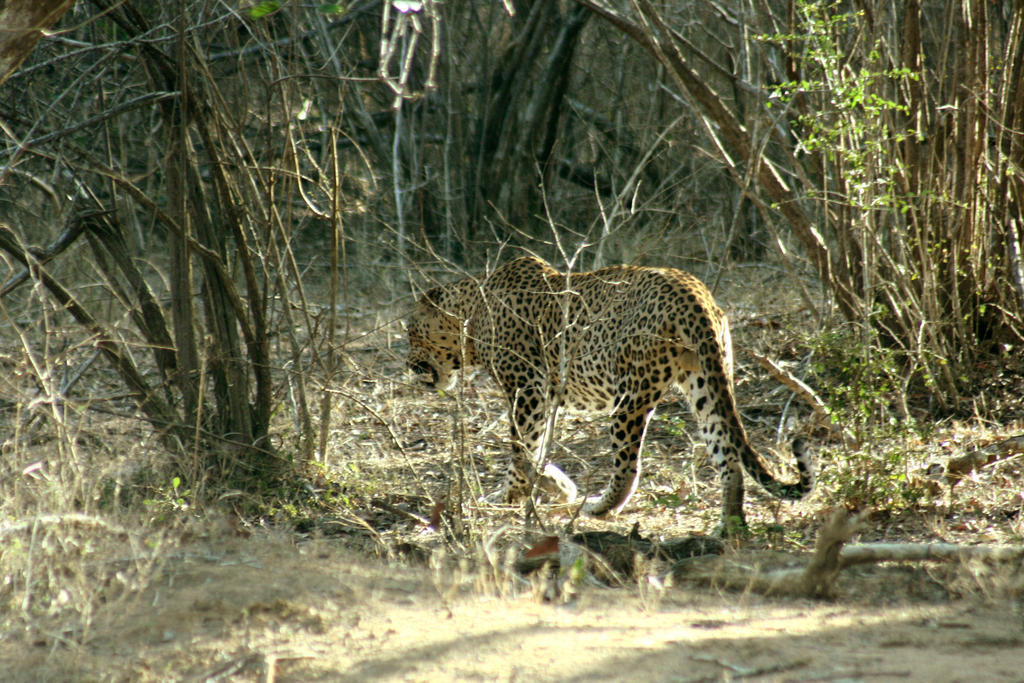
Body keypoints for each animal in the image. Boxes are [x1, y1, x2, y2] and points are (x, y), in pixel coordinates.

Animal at [403, 255, 811, 532]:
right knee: (727, 455)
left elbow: (521, 449)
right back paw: (729, 526)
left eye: (410, 331)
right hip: (705, 382)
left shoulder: (527, 389)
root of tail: (694, 293)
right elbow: (535, 448)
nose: (407, 363)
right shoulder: (542, 396)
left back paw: (599, 507)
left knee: (629, 464)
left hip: (630, 393)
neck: (472, 314)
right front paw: (550, 484)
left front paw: (520, 494)